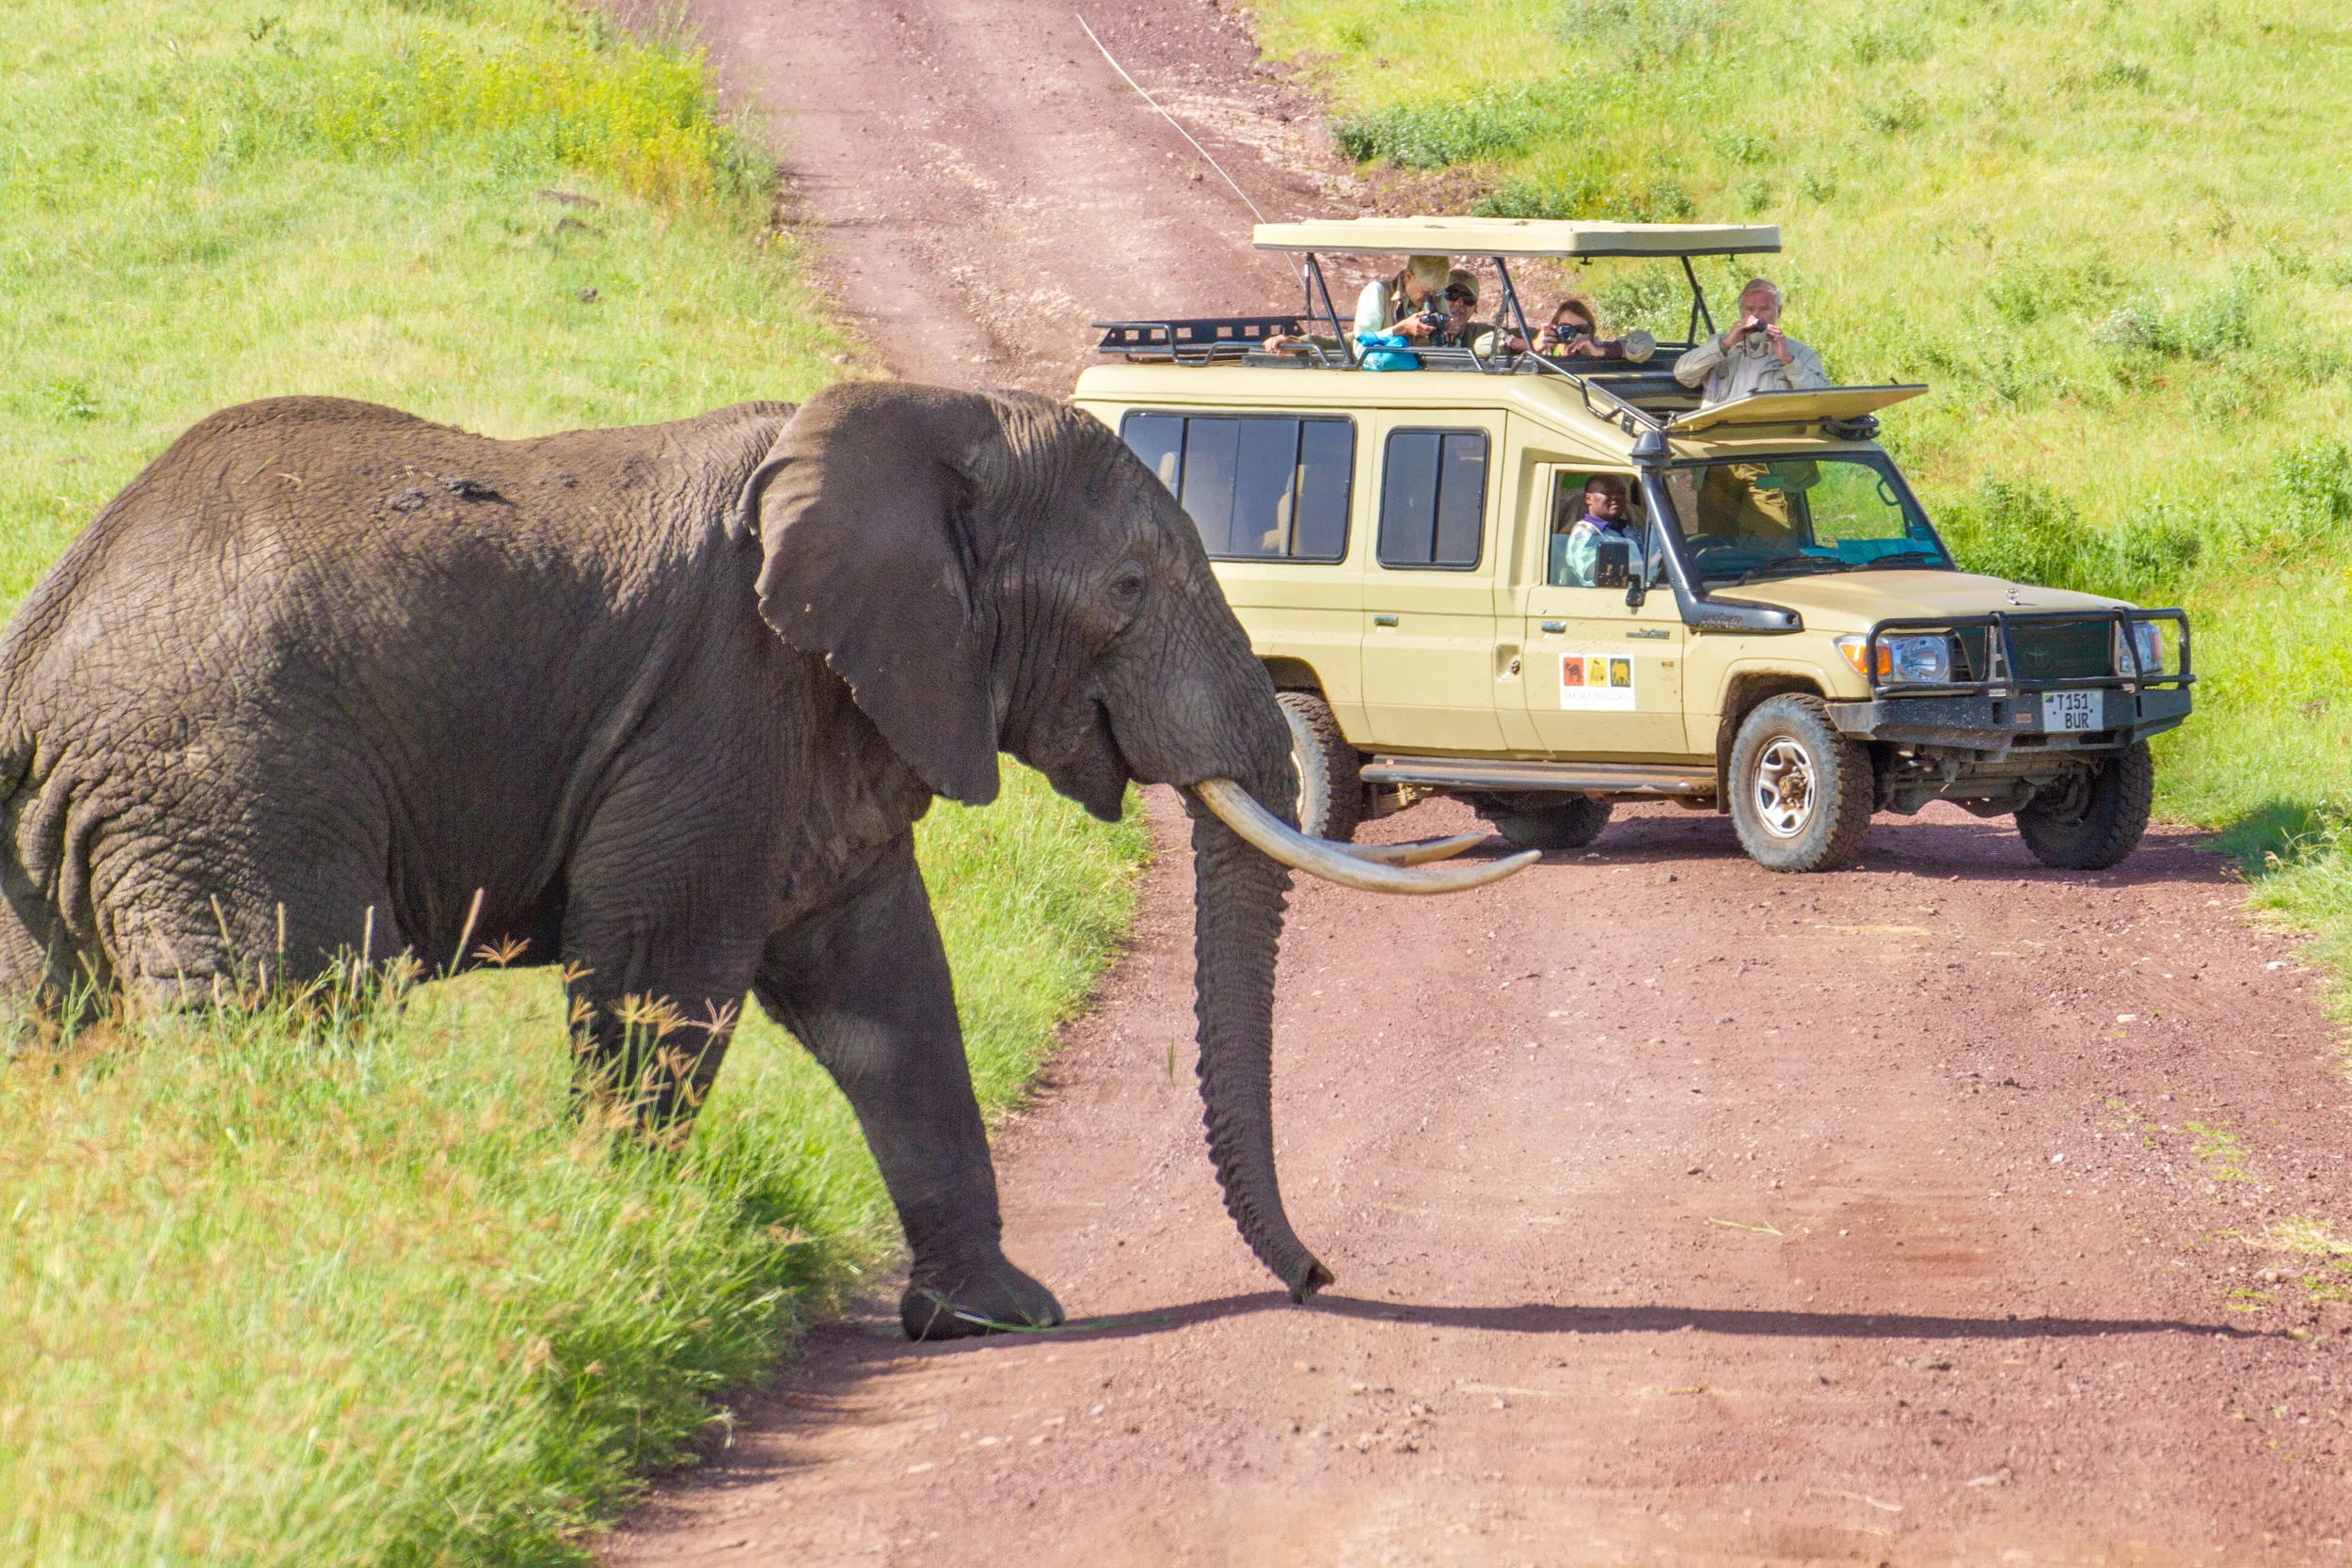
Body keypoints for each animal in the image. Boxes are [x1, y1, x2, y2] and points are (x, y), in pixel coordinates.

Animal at [0, 382, 1530, 1338]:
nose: (1320, 1273)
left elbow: (888, 990)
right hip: (226, 784)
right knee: (274, 1016)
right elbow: (658, 971)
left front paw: (995, 1315)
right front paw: (626, 1255)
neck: (925, 419)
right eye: (1129, 591)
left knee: (53, 1022)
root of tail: (41, 648)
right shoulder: (728, 695)